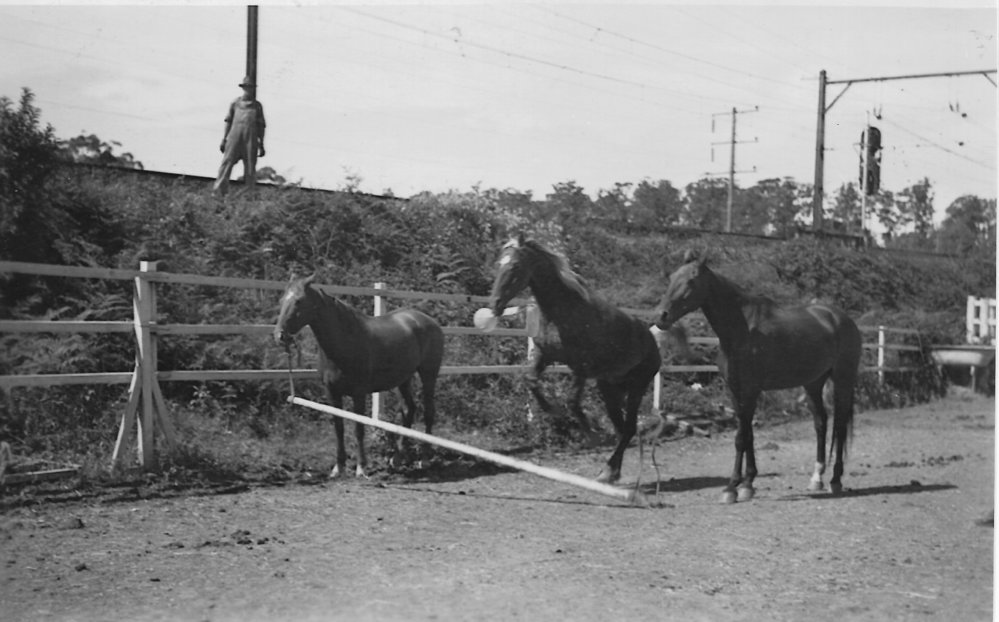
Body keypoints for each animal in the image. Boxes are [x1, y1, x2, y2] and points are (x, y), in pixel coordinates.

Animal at [274, 274, 444, 478]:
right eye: (281, 300)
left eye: (299, 301)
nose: (280, 336)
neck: (345, 341)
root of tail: (429, 321)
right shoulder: (332, 392)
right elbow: (338, 428)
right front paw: (338, 467)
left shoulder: (359, 393)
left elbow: (358, 429)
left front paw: (361, 467)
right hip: (403, 379)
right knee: (409, 410)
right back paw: (397, 459)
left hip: (428, 375)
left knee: (428, 412)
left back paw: (424, 459)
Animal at [490, 234, 662, 484]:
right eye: (498, 264)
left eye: (515, 266)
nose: (495, 304)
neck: (563, 312)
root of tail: (652, 341)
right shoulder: (544, 355)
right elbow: (531, 381)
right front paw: (551, 409)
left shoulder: (581, 367)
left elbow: (572, 401)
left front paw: (591, 435)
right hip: (610, 389)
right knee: (623, 429)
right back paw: (611, 472)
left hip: (637, 387)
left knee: (629, 428)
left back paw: (608, 470)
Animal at [655, 251, 862, 503]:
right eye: (671, 277)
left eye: (692, 280)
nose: (661, 316)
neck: (741, 330)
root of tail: (840, 318)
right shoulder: (735, 391)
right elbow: (747, 435)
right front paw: (747, 484)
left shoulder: (751, 390)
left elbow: (741, 437)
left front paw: (733, 487)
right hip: (813, 383)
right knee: (821, 423)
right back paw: (816, 478)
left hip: (843, 380)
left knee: (840, 426)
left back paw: (835, 480)